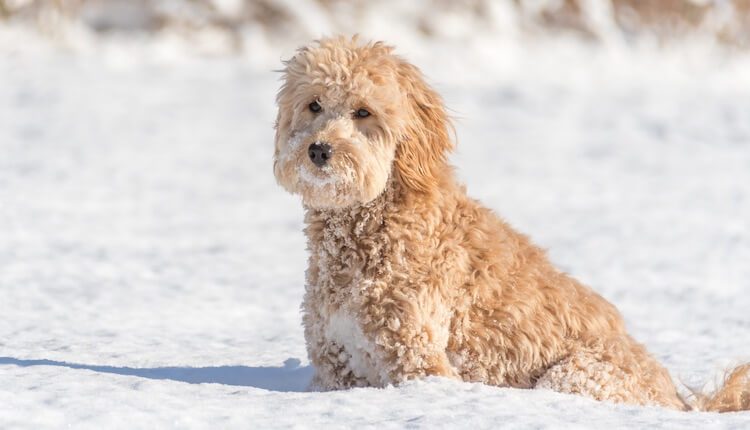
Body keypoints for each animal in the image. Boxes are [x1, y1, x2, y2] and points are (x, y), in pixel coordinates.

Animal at [274, 35, 748, 412]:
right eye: (314, 105)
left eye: (363, 112)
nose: (318, 150)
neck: (368, 227)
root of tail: (678, 400)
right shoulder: (335, 362)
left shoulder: (418, 359)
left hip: (572, 374)